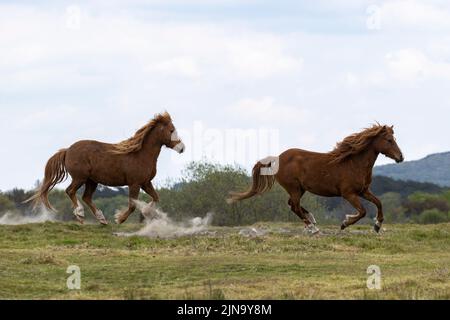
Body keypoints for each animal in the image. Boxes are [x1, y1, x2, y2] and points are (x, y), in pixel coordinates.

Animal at [25, 112, 185, 225]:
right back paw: (80, 214)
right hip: (80, 178)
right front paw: (119, 219)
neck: (141, 154)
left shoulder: (145, 183)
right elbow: (132, 205)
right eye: (171, 130)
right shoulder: (135, 184)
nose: (182, 148)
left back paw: (101, 219)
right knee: (70, 191)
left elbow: (156, 197)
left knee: (86, 197)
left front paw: (145, 211)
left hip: (92, 181)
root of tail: (67, 150)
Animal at [229, 124, 404, 232]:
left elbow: (378, 203)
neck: (354, 163)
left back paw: (311, 221)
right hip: (294, 188)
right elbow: (362, 211)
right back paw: (313, 228)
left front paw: (377, 225)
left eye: (394, 139)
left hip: (300, 189)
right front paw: (345, 223)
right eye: (389, 140)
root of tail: (277, 158)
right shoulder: (348, 194)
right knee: (295, 206)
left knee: (292, 205)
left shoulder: (364, 191)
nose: (400, 157)